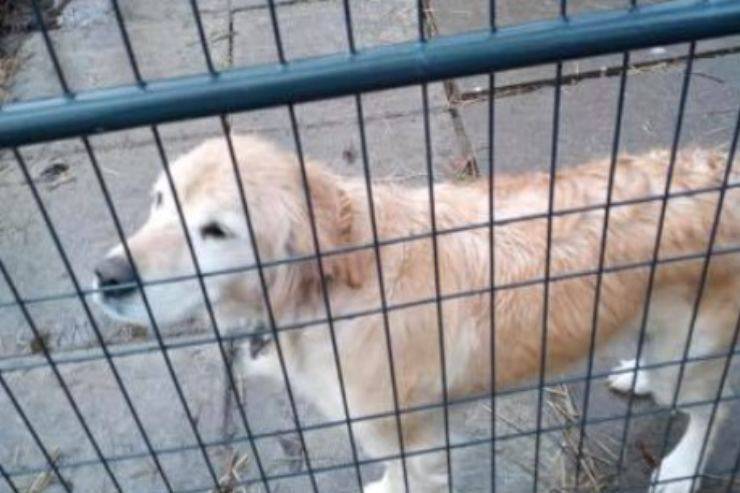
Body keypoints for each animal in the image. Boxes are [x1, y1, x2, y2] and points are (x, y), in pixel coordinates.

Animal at [95, 135, 740, 492]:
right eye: (158, 201)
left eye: (216, 231)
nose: (106, 277)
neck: (329, 291)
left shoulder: (413, 442)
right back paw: (636, 375)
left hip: (691, 350)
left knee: (713, 409)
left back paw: (679, 471)